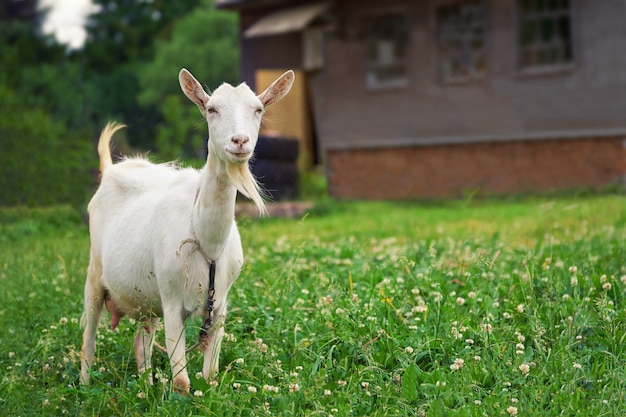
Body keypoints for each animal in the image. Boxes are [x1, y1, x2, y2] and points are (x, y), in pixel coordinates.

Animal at [81, 67, 294, 390]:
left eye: (258, 109)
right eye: (212, 109)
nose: (240, 141)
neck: (207, 244)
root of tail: (111, 170)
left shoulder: (219, 305)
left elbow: (211, 374)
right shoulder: (171, 301)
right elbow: (181, 381)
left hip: (147, 297)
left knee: (141, 341)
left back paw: (146, 385)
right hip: (95, 271)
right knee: (89, 335)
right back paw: (83, 381)